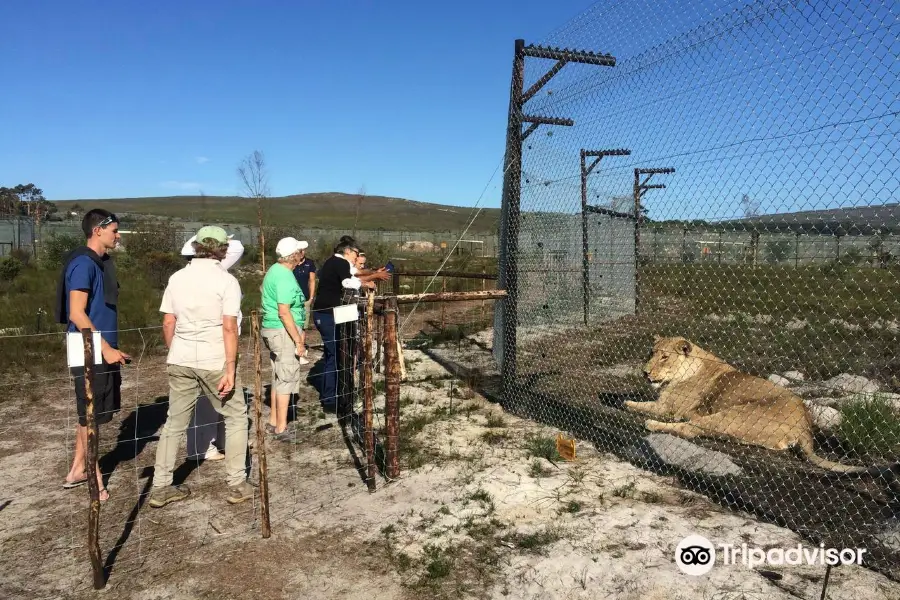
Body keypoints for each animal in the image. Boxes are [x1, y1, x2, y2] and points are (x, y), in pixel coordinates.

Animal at [624, 338, 868, 474]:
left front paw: (628, 402)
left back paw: (655, 424)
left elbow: (640, 405)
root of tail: (806, 426)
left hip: (733, 414)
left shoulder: (668, 407)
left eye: (664, 357)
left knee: (690, 428)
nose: (644, 372)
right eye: (651, 353)